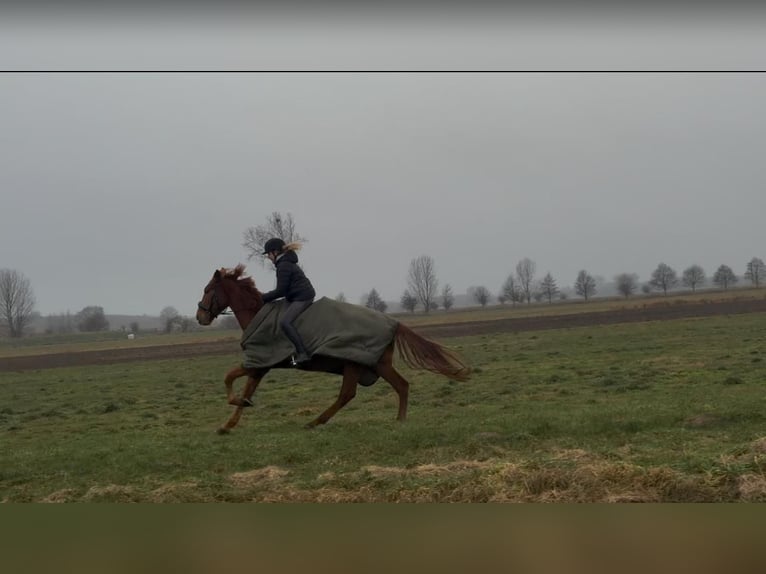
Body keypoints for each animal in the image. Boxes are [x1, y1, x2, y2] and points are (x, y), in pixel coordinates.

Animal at [196, 265, 470, 434]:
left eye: (208, 290)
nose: (200, 317)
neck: (257, 314)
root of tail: (393, 322)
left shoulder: (257, 362)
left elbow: (228, 378)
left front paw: (235, 404)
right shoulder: (259, 367)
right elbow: (245, 390)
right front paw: (228, 424)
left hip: (356, 363)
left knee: (348, 394)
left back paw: (315, 421)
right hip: (374, 364)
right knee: (400, 386)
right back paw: (399, 420)